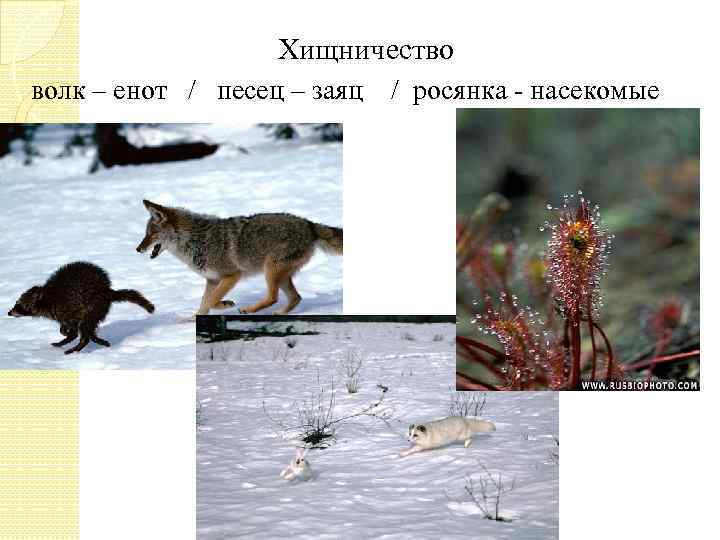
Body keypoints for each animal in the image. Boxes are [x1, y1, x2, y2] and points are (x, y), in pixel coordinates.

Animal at [136, 200, 342, 316]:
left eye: (151, 234)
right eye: (145, 234)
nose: (138, 249)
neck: (195, 240)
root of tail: (309, 224)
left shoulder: (232, 275)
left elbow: (211, 301)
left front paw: (226, 304)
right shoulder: (212, 280)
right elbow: (203, 304)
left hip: (270, 270)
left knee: (273, 297)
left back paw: (247, 310)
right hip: (280, 275)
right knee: (295, 298)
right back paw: (277, 314)